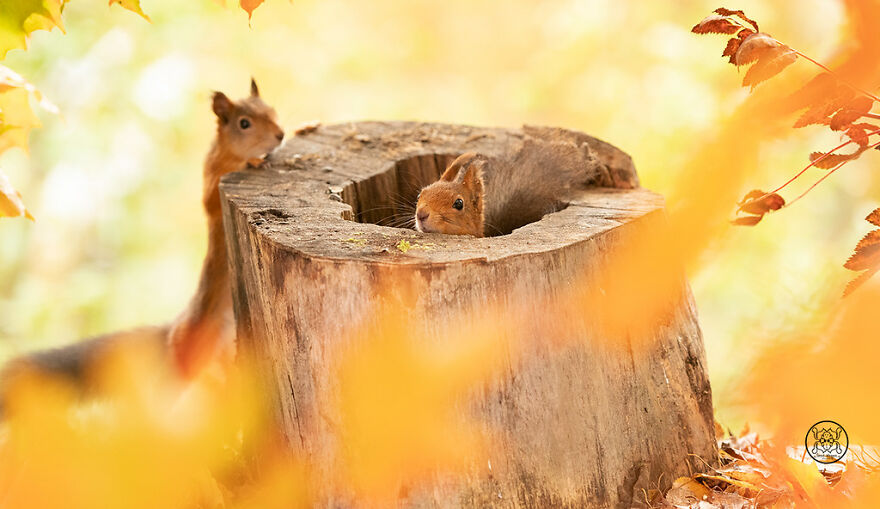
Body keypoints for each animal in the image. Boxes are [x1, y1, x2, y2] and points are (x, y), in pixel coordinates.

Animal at [0, 79, 284, 397]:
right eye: (244, 123)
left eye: (272, 110)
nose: (280, 135)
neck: (227, 153)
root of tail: (174, 328)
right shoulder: (212, 183)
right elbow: (214, 198)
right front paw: (254, 161)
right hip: (189, 353)